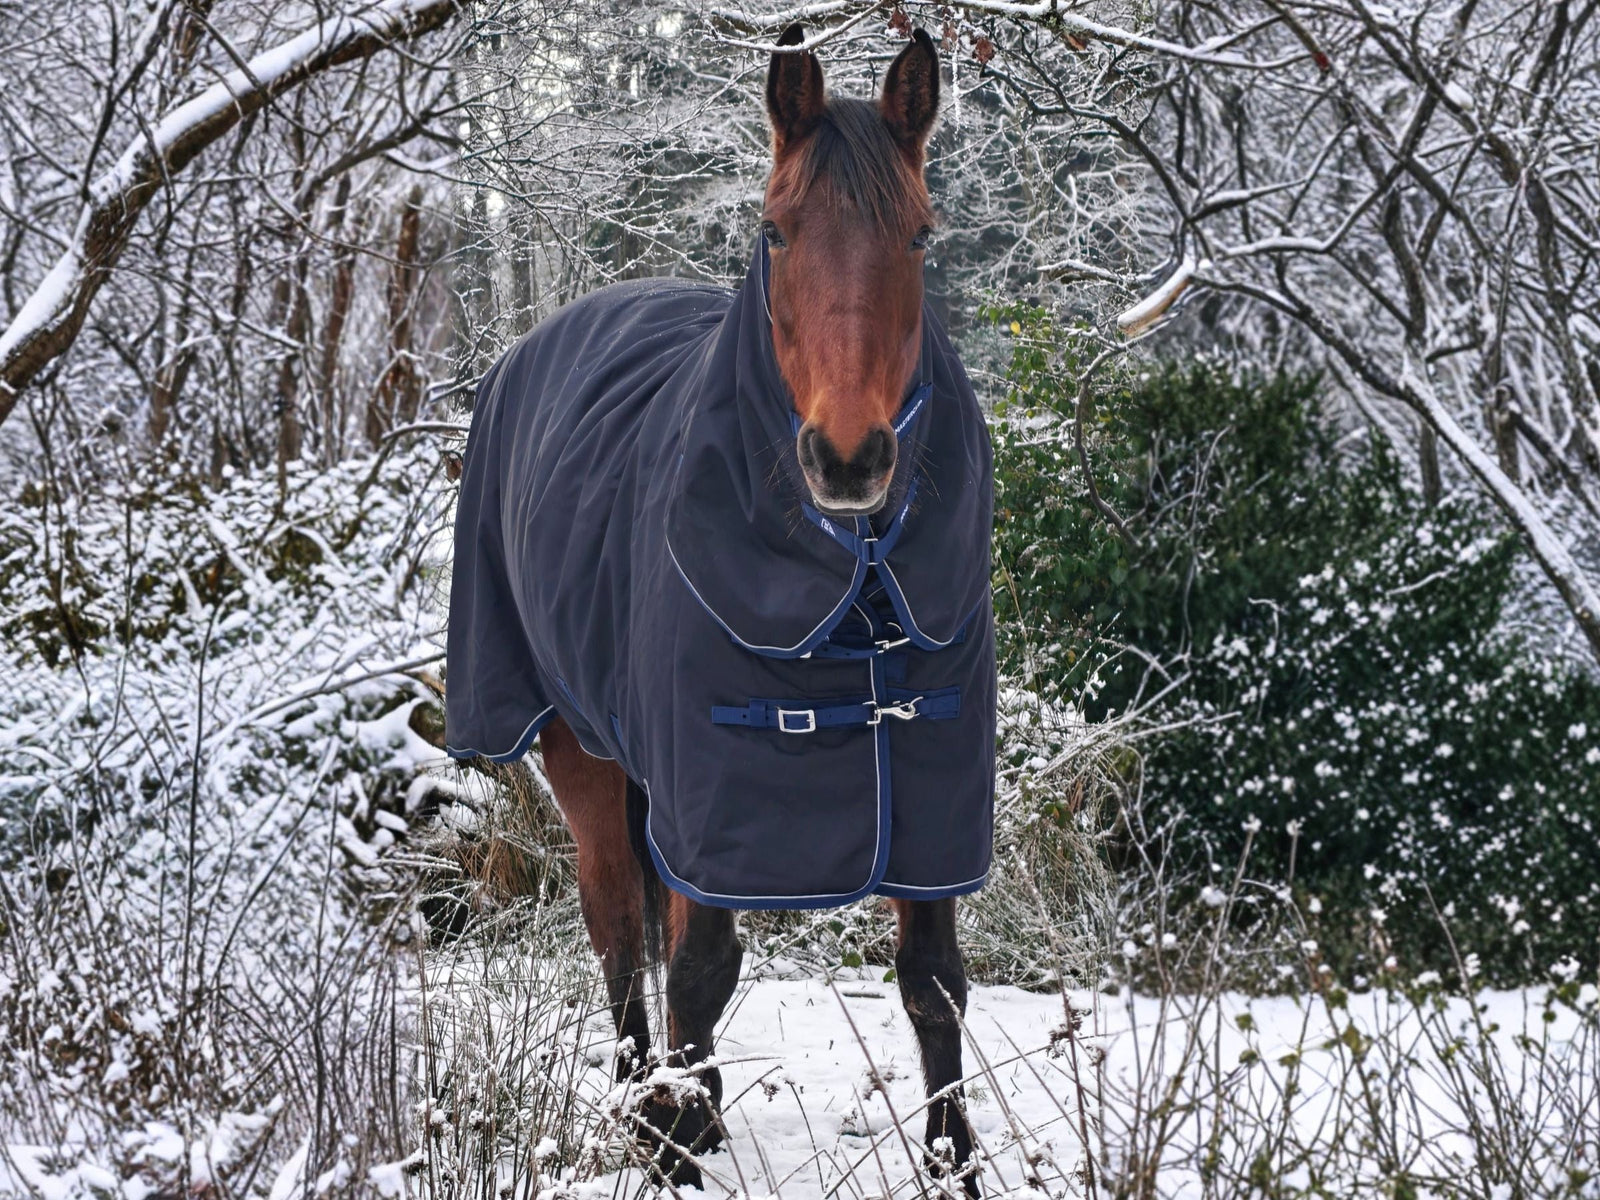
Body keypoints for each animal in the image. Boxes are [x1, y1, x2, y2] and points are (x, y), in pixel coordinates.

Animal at [446, 26, 995, 1195]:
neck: (853, 582)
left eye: (921, 235)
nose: (849, 460)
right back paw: (642, 1103)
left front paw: (954, 1163)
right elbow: (699, 966)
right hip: (582, 752)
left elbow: (932, 979)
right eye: (774, 231)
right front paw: (671, 1147)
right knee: (618, 930)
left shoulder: (932, 795)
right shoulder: (712, 793)